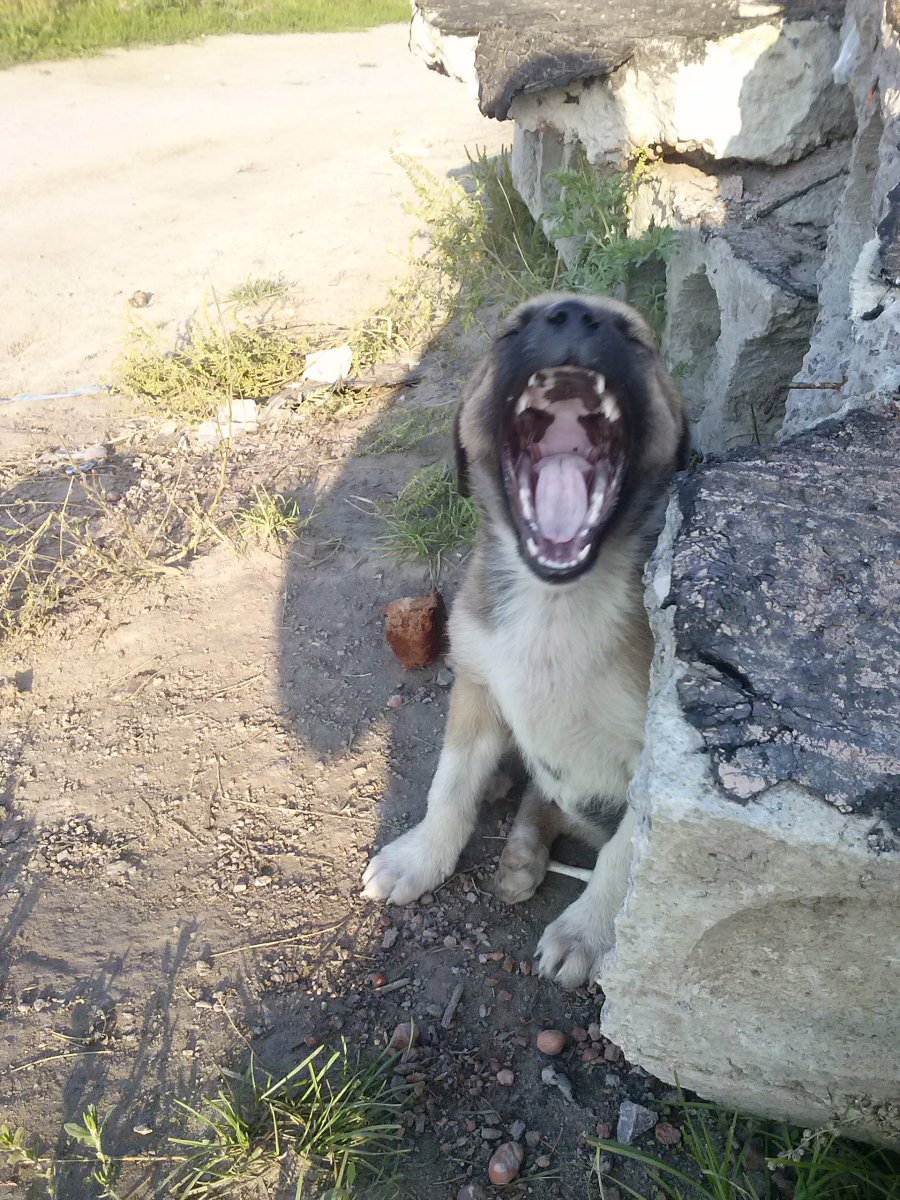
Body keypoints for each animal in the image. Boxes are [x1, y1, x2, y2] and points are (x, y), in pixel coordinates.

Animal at [363, 293, 688, 989]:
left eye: (633, 335)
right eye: (512, 330)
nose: (574, 315)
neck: (555, 605)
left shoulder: (656, 762)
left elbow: (624, 853)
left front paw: (587, 933)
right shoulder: (477, 685)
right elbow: (448, 786)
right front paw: (420, 857)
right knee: (535, 792)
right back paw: (515, 848)